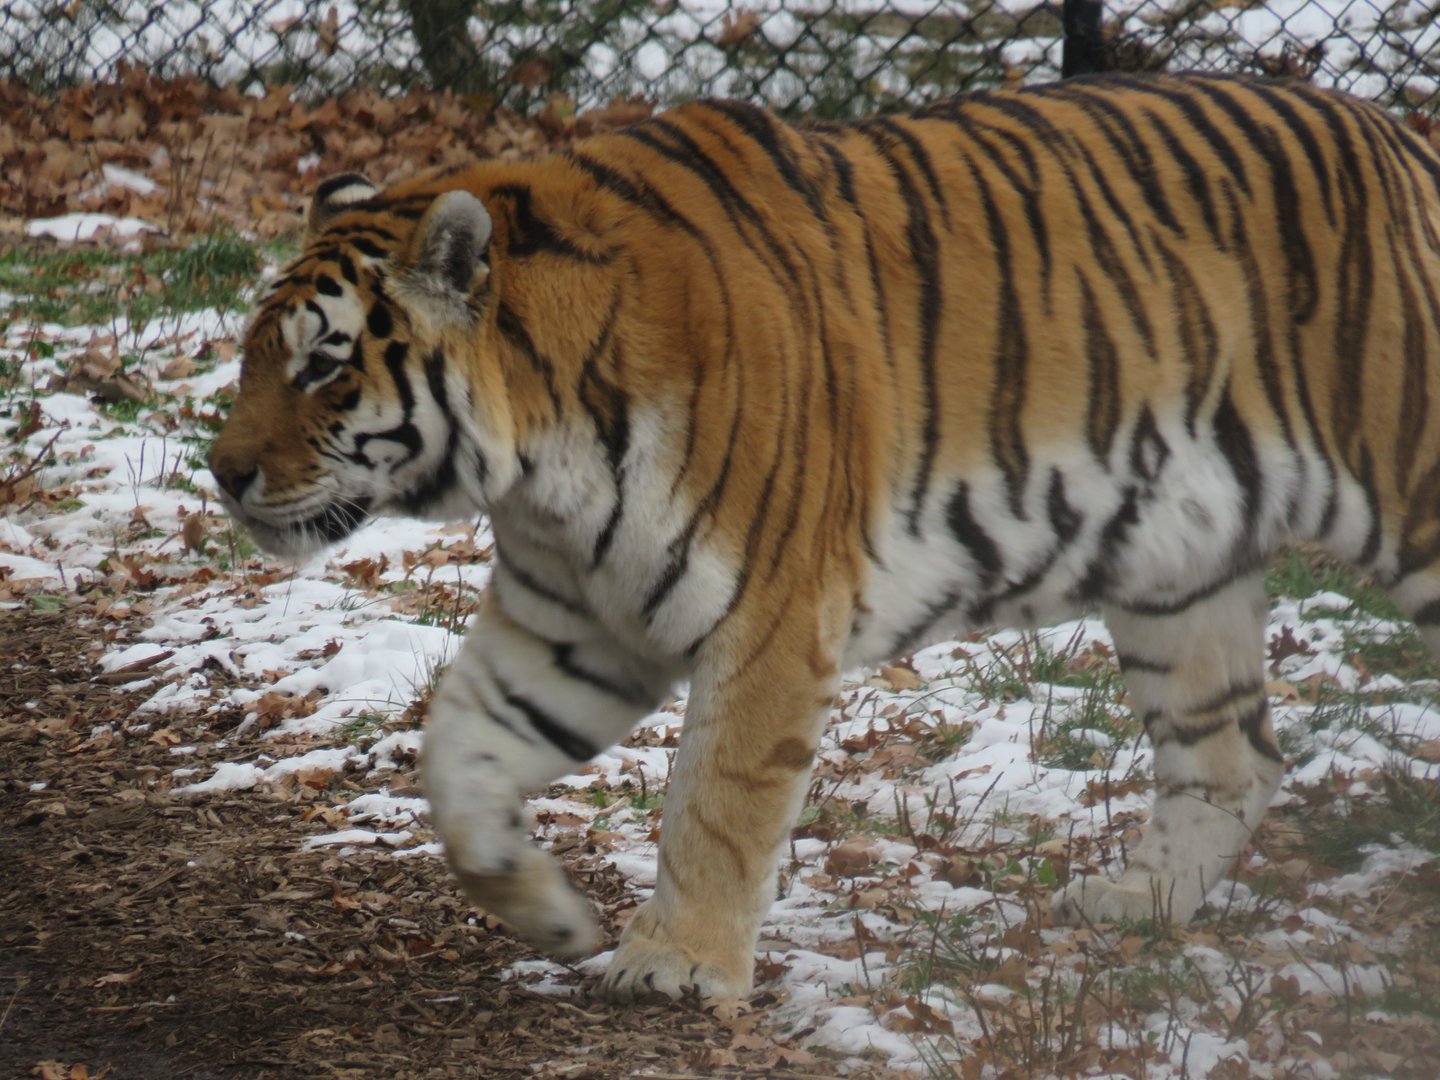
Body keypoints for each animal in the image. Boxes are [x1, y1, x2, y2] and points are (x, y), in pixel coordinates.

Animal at [209, 71, 1440, 1002]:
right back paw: (1138, 905)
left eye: (323, 366)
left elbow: (715, 802)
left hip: (1402, 495)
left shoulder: (770, 612)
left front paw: (673, 966)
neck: (535, 462)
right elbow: (456, 754)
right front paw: (547, 912)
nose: (221, 473)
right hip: (1178, 567)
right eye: (256, 354)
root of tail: (1403, 137)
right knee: (1233, 755)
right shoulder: (570, 623)